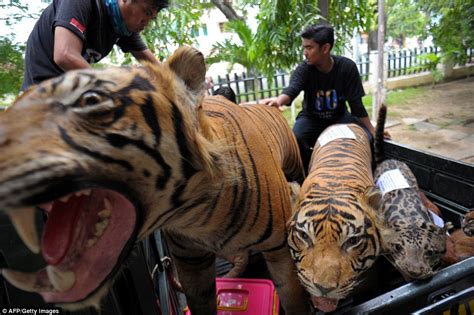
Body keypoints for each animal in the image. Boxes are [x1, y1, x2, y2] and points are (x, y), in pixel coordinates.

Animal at [0, 47, 312, 315]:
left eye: (91, 100)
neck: (198, 213)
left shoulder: (279, 251)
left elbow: (293, 299)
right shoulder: (191, 263)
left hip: (294, 165)